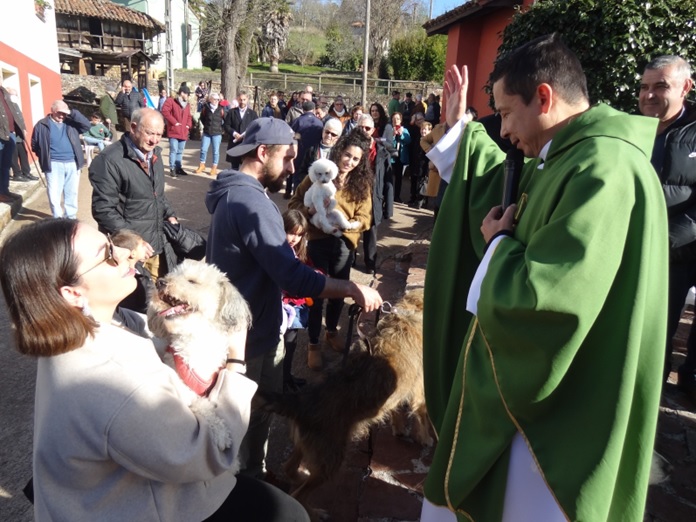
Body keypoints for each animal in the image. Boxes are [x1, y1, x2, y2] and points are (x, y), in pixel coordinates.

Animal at [148, 260, 251, 450]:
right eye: (170, 274)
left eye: (192, 281)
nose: (160, 282)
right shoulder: (182, 387)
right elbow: (202, 404)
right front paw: (221, 433)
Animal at [256, 288, 430, 516]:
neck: (411, 311)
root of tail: (302, 402)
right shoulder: (419, 392)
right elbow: (421, 414)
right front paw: (425, 438)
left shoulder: (397, 394)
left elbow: (396, 410)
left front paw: (399, 429)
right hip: (331, 459)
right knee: (299, 495)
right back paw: (315, 512)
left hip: (309, 447)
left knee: (290, 469)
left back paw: (300, 478)